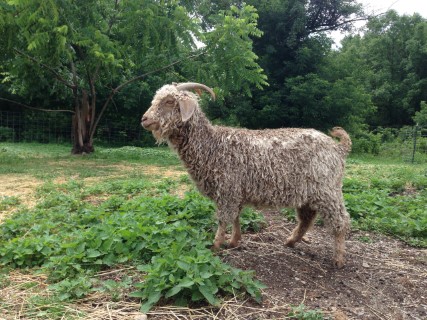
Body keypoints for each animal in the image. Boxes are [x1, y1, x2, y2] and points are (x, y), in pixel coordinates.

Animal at [142, 82, 352, 268]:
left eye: (169, 101)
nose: (144, 119)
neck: (212, 145)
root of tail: (338, 148)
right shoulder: (235, 192)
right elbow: (236, 216)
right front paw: (234, 241)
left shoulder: (227, 189)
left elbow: (224, 219)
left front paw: (215, 246)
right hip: (309, 193)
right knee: (307, 218)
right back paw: (290, 241)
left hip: (327, 190)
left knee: (340, 220)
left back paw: (339, 259)